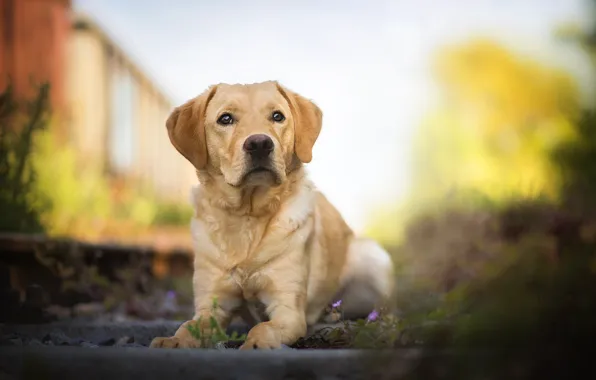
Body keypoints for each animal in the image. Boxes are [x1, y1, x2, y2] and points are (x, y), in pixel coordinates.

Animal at [149, 81, 394, 348]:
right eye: (225, 119)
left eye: (277, 116)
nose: (259, 143)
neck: (248, 215)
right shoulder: (211, 306)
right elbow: (188, 326)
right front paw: (173, 340)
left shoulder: (287, 310)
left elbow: (263, 329)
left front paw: (253, 345)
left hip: (373, 257)